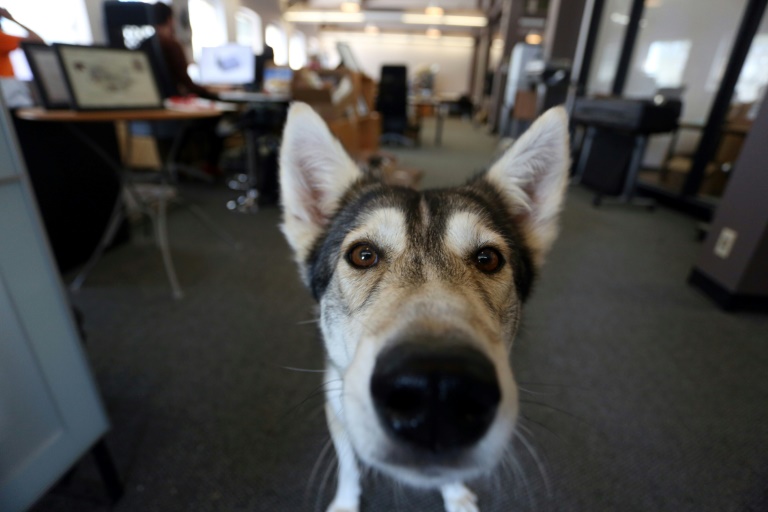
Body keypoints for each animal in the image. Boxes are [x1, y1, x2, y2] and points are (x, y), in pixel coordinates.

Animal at [280, 102, 568, 510]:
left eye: (488, 259)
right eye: (363, 255)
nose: (437, 390)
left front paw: (456, 496)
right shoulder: (336, 404)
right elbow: (349, 466)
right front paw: (347, 502)